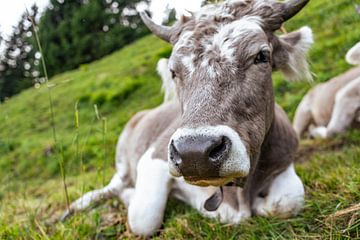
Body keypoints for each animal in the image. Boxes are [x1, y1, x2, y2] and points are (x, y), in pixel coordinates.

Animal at [61, 0, 312, 236]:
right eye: (173, 71)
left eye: (262, 56)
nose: (195, 153)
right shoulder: (155, 156)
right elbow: (143, 217)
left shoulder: (285, 157)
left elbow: (288, 201)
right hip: (122, 155)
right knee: (115, 184)